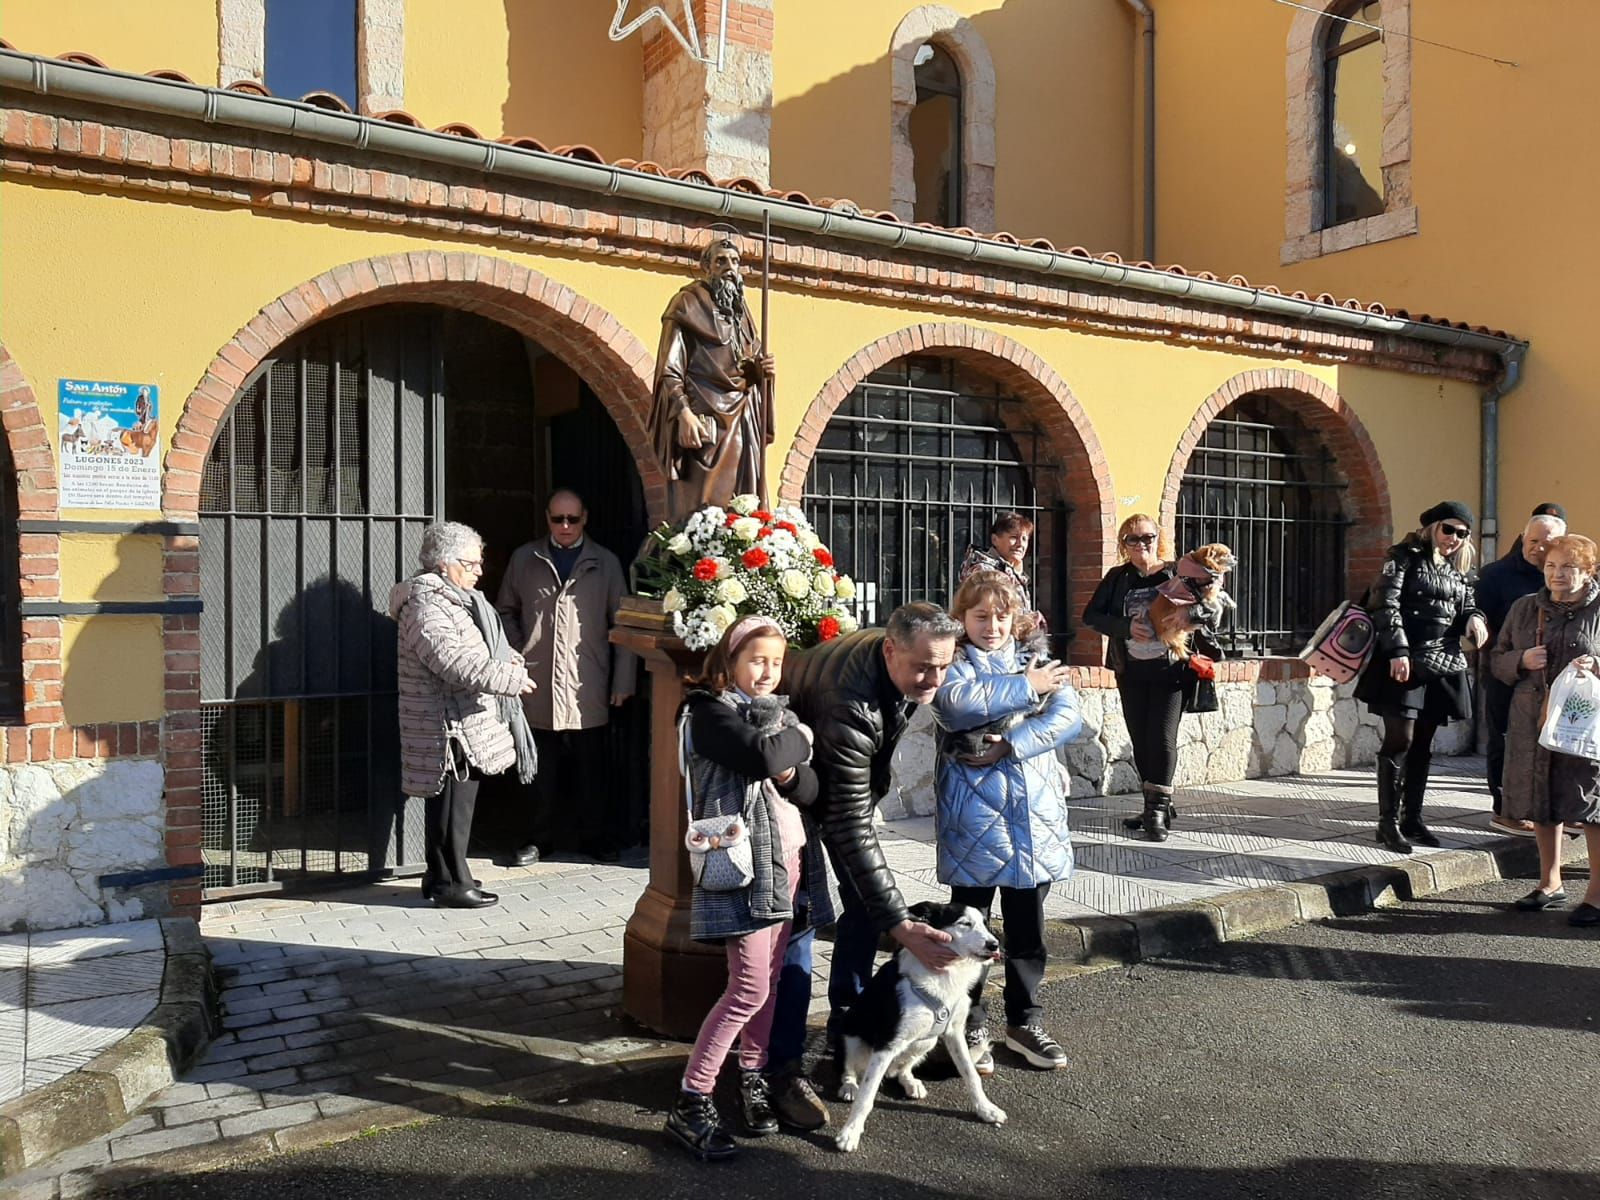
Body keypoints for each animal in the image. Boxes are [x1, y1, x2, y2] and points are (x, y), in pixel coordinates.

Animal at [832, 902, 1004, 1158]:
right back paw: (849, 1086)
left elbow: (971, 1074)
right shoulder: (887, 1043)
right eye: (964, 923)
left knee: (903, 1068)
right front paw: (850, 1133)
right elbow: (867, 1095)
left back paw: (910, 1082)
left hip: (926, 1041)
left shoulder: (954, 1033)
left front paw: (986, 1109)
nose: (994, 944)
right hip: (851, 1036)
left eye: (986, 924)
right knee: (849, 1069)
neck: (944, 974)